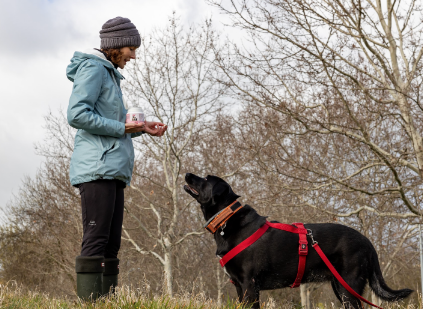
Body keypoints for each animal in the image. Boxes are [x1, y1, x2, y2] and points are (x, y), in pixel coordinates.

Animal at [184, 172, 412, 306]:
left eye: (206, 179)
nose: (187, 173)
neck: (227, 219)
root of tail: (367, 241)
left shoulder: (249, 284)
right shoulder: (239, 286)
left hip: (349, 285)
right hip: (340, 285)